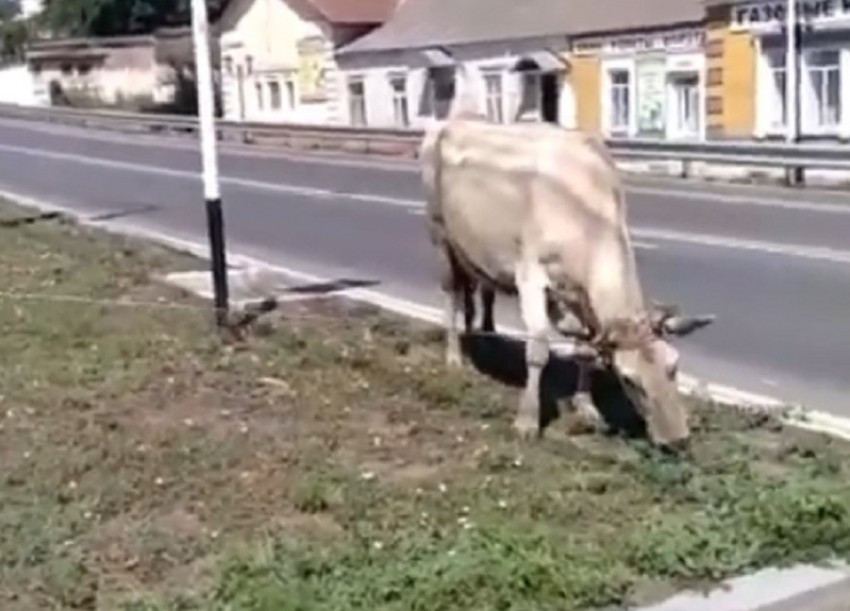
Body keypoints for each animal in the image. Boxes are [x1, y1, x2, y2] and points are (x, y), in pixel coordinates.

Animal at [420, 117, 712, 448]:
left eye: (674, 366)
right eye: (629, 379)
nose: (677, 440)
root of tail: (449, 121)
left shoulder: (579, 296)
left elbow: (584, 350)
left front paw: (586, 405)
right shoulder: (529, 275)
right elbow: (538, 349)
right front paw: (527, 421)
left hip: (473, 250)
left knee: (479, 288)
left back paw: (483, 335)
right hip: (440, 235)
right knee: (452, 294)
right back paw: (454, 356)